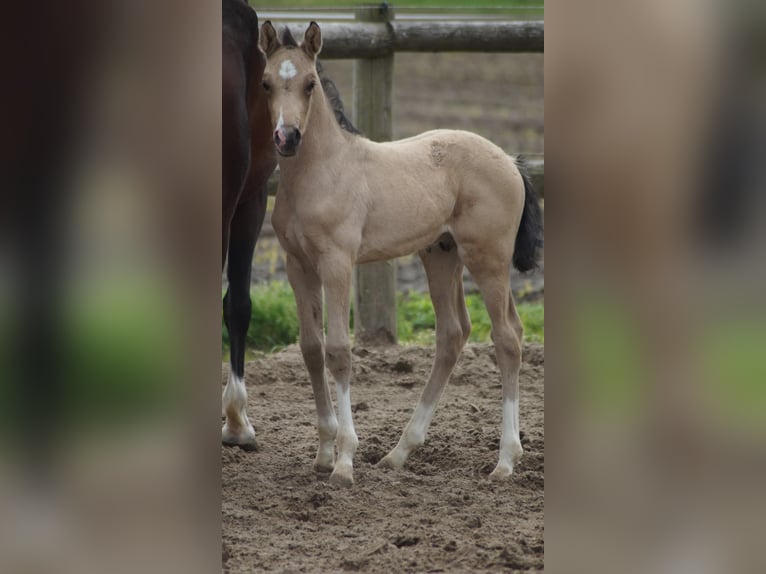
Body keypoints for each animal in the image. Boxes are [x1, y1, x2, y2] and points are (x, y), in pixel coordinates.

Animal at [259, 22, 543, 485]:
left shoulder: (337, 263)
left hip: (489, 259)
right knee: (455, 334)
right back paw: (399, 452)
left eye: (310, 83)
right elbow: (311, 349)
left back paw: (504, 461)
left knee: (507, 339)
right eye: (266, 83)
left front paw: (344, 461)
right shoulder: (297, 265)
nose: (287, 138)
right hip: (442, 255)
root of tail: (510, 160)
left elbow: (339, 350)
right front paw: (323, 454)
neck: (323, 170)